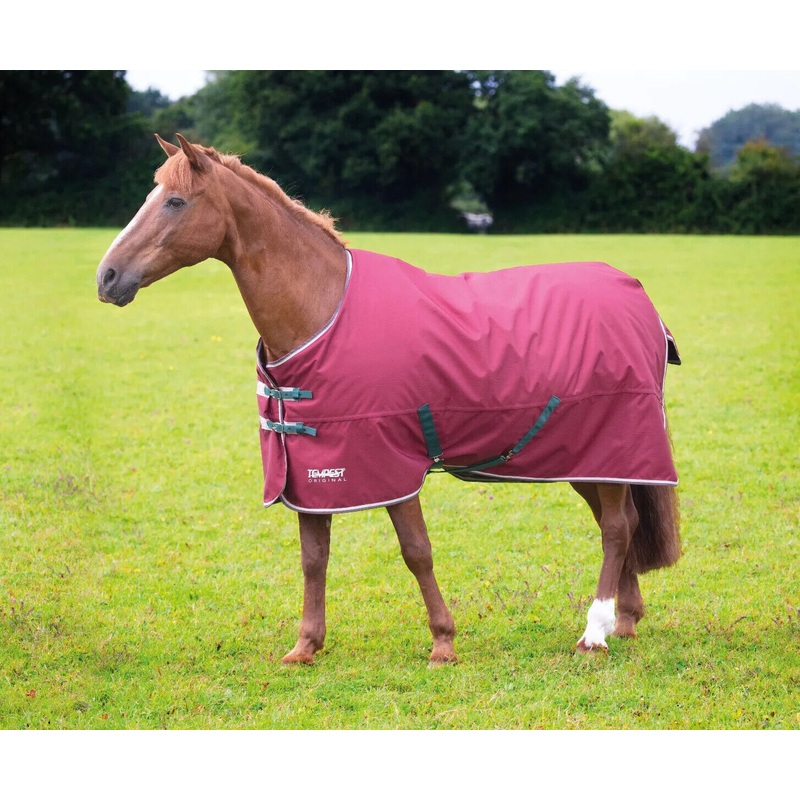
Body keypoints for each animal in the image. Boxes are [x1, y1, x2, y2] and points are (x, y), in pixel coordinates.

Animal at [96, 134, 682, 665]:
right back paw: (624, 619)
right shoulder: (312, 475)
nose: (107, 277)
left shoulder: (393, 463)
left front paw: (443, 642)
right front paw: (306, 646)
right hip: (584, 457)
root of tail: (641, 300)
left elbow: (416, 551)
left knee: (615, 530)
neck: (323, 310)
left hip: (610, 445)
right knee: (623, 523)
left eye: (175, 201)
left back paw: (595, 633)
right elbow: (313, 557)